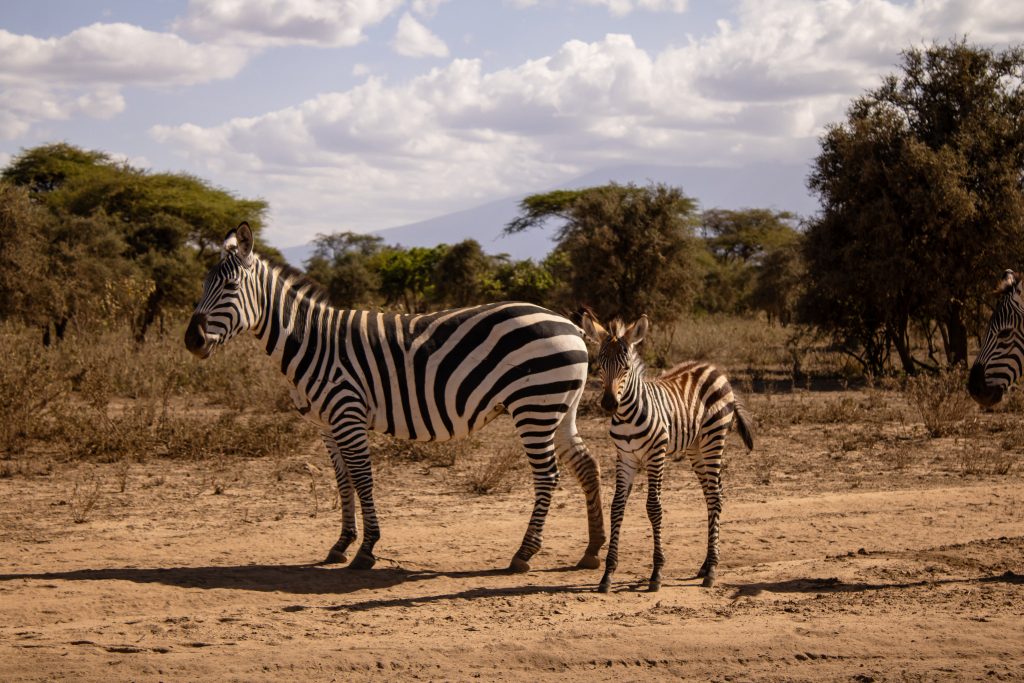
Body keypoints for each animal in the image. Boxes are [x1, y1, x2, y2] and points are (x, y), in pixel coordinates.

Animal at [184, 223, 606, 572]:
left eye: (230, 289)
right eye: (203, 286)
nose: (191, 341)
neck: (311, 341)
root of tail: (570, 326)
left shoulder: (348, 414)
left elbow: (363, 479)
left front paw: (366, 550)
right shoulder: (326, 425)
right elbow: (343, 482)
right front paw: (341, 544)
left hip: (534, 406)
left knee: (548, 475)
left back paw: (524, 554)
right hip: (559, 407)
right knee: (586, 465)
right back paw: (592, 550)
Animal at [581, 310, 754, 592]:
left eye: (626, 368)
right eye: (599, 366)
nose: (608, 404)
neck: (627, 414)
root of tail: (714, 369)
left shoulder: (656, 454)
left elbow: (654, 507)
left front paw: (656, 573)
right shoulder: (625, 457)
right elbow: (617, 507)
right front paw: (607, 574)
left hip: (714, 439)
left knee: (715, 496)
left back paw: (711, 571)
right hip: (696, 448)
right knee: (712, 495)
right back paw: (706, 564)